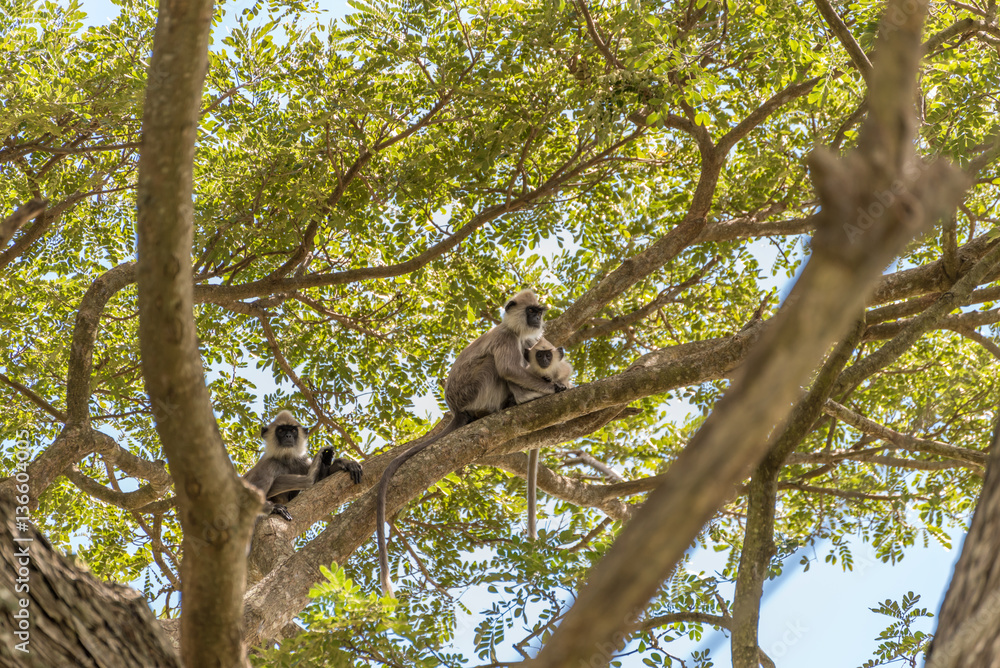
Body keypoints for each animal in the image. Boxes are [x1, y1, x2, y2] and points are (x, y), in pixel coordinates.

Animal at [376, 289, 564, 594]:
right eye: (531, 311)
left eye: (539, 311)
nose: (537, 320)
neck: (515, 329)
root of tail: (457, 409)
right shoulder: (507, 339)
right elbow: (510, 370)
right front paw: (553, 388)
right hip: (475, 388)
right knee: (493, 365)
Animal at [510, 337, 574, 540]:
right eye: (539, 355)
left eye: (547, 354)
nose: (544, 360)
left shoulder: (561, 368)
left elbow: (566, 371)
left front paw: (559, 384)